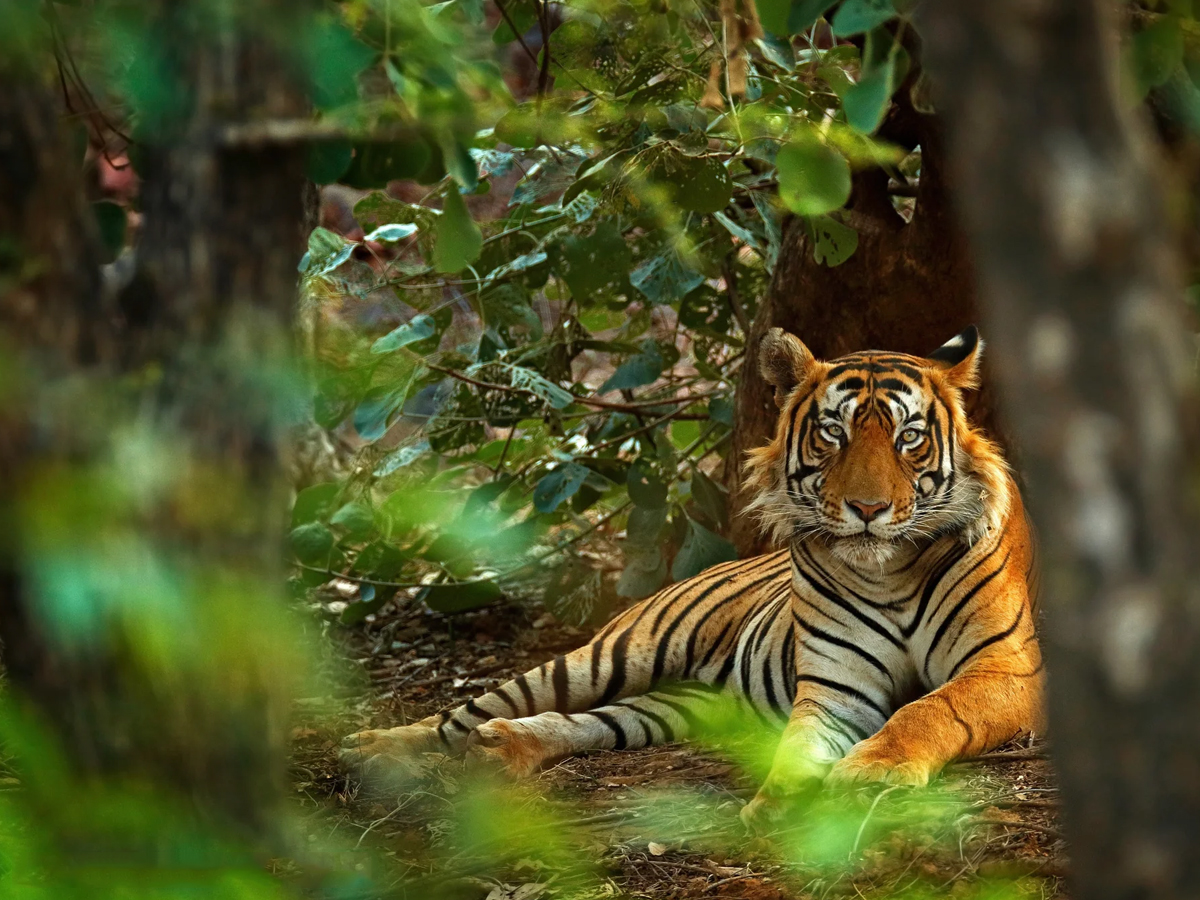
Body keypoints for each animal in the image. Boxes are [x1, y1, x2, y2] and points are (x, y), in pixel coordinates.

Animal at [341, 326, 1044, 829]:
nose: (867, 509)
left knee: (590, 723)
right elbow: (799, 745)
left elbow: (930, 708)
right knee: (470, 710)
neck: (889, 572)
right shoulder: (835, 688)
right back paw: (374, 747)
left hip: (681, 705)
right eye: (833, 433)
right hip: (612, 655)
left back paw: (501, 749)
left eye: (909, 438)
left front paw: (870, 773)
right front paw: (779, 804)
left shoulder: (1007, 668)